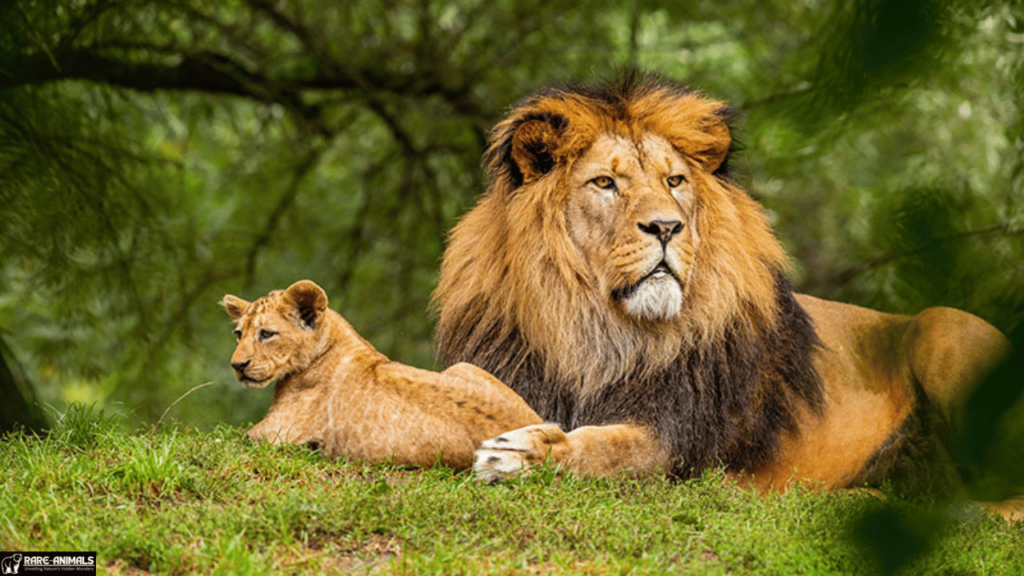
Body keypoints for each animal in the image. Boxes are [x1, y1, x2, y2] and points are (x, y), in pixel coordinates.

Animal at [432, 72, 1015, 502]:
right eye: (605, 183)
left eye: (674, 181)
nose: (667, 227)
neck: (595, 331)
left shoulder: (679, 437)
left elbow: (605, 449)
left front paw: (522, 454)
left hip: (944, 328)